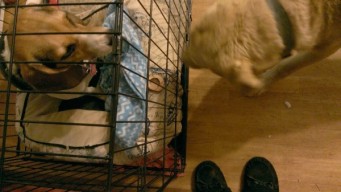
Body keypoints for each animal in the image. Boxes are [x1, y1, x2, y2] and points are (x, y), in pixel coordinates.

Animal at [183, 0, 341, 95]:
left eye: (213, 70)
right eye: (195, 31)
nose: (182, 56)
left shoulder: (326, 46)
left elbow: (286, 66)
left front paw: (262, 84)